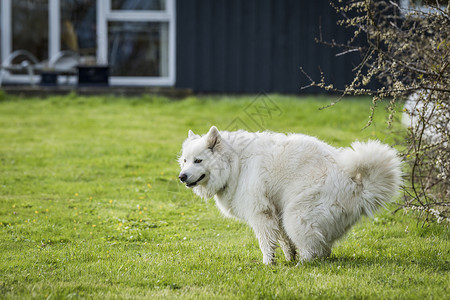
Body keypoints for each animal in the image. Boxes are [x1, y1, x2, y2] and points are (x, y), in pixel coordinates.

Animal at [178, 126, 400, 264]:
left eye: (198, 160)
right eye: (185, 160)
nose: (181, 177)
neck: (236, 164)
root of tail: (357, 186)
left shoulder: (261, 214)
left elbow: (266, 243)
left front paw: (268, 264)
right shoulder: (277, 213)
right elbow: (285, 242)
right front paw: (288, 258)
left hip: (296, 216)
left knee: (312, 251)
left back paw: (302, 266)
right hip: (293, 217)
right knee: (323, 249)